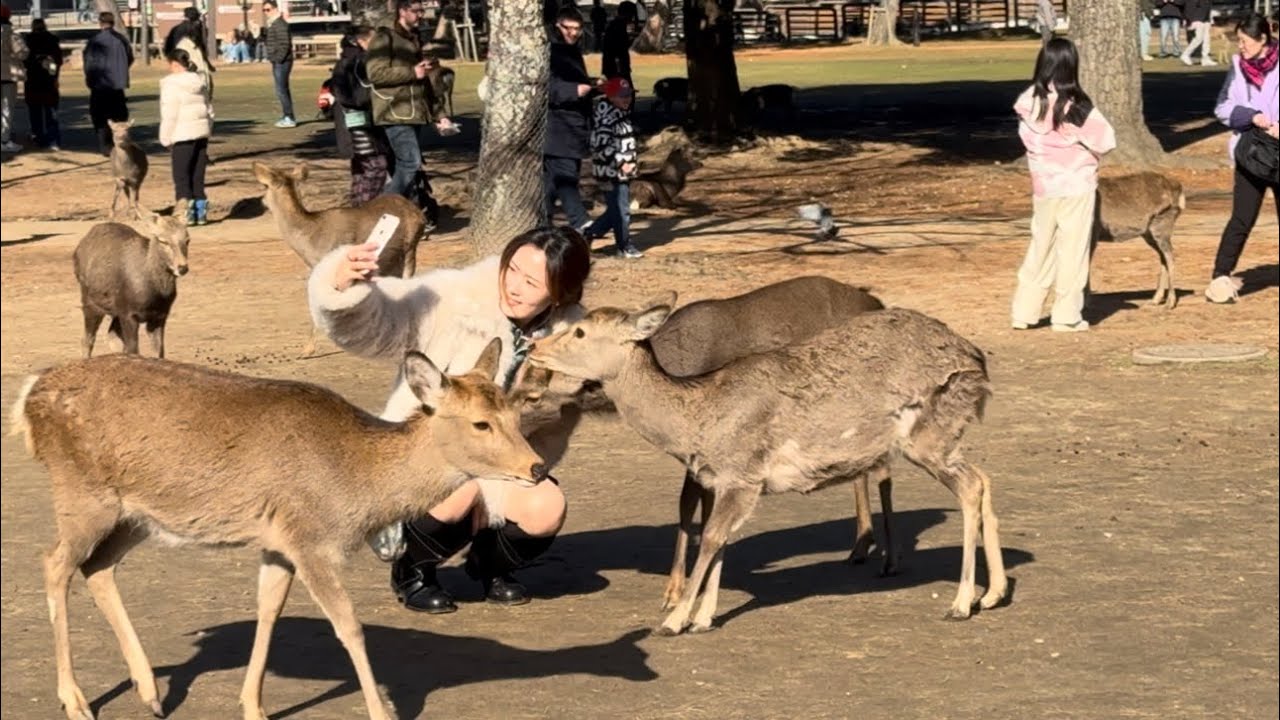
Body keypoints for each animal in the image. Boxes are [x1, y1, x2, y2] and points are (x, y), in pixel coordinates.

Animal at [9, 339, 546, 720]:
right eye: (480, 424)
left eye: (515, 411)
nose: (537, 468)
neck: (356, 483)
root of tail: (28, 397)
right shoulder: (312, 538)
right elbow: (349, 627)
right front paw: (383, 712)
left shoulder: (279, 543)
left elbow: (268, 611)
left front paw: (253, 706)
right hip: (83, 494)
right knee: (54, 563)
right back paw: (76, 700)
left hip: (134, 515)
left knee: (97, 567)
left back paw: (151, 694)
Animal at [73, 213, 191, 359]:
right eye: (163, 241)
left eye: (187, 240)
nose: (182, 267)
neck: (155, 295)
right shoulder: (128, 313)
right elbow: (134, 350)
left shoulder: (160, 315)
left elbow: (159, 352)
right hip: (90, 304)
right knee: (88, 339)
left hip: (115, 312)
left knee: (111, 334)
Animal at [253, 162, 428, 354]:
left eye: (265, 185)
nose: (260, 202)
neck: (310, 243)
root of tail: (421, 215)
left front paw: (307, 350)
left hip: (410, 248)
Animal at [527, 301, 1006, 635]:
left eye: (580, 330)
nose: (533, 346)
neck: (695, 421)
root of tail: (978, 362)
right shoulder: (724, 480)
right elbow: (721, 538)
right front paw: (703, 618)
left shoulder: (742, 472)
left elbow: (712, 537)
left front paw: (674, 619)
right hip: (945, 438)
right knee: (984, 477)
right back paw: (993, 594)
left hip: (930, 433)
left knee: (969, 486)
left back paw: (961, 603)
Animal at [1090, 171, 1185, 310]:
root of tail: (1180, 191)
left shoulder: (1093, 233)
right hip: (1148, 233)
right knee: (1163, 257)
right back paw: (1155, 299)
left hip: (1162, 221)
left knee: (1170, 256)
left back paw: (1170, 302)